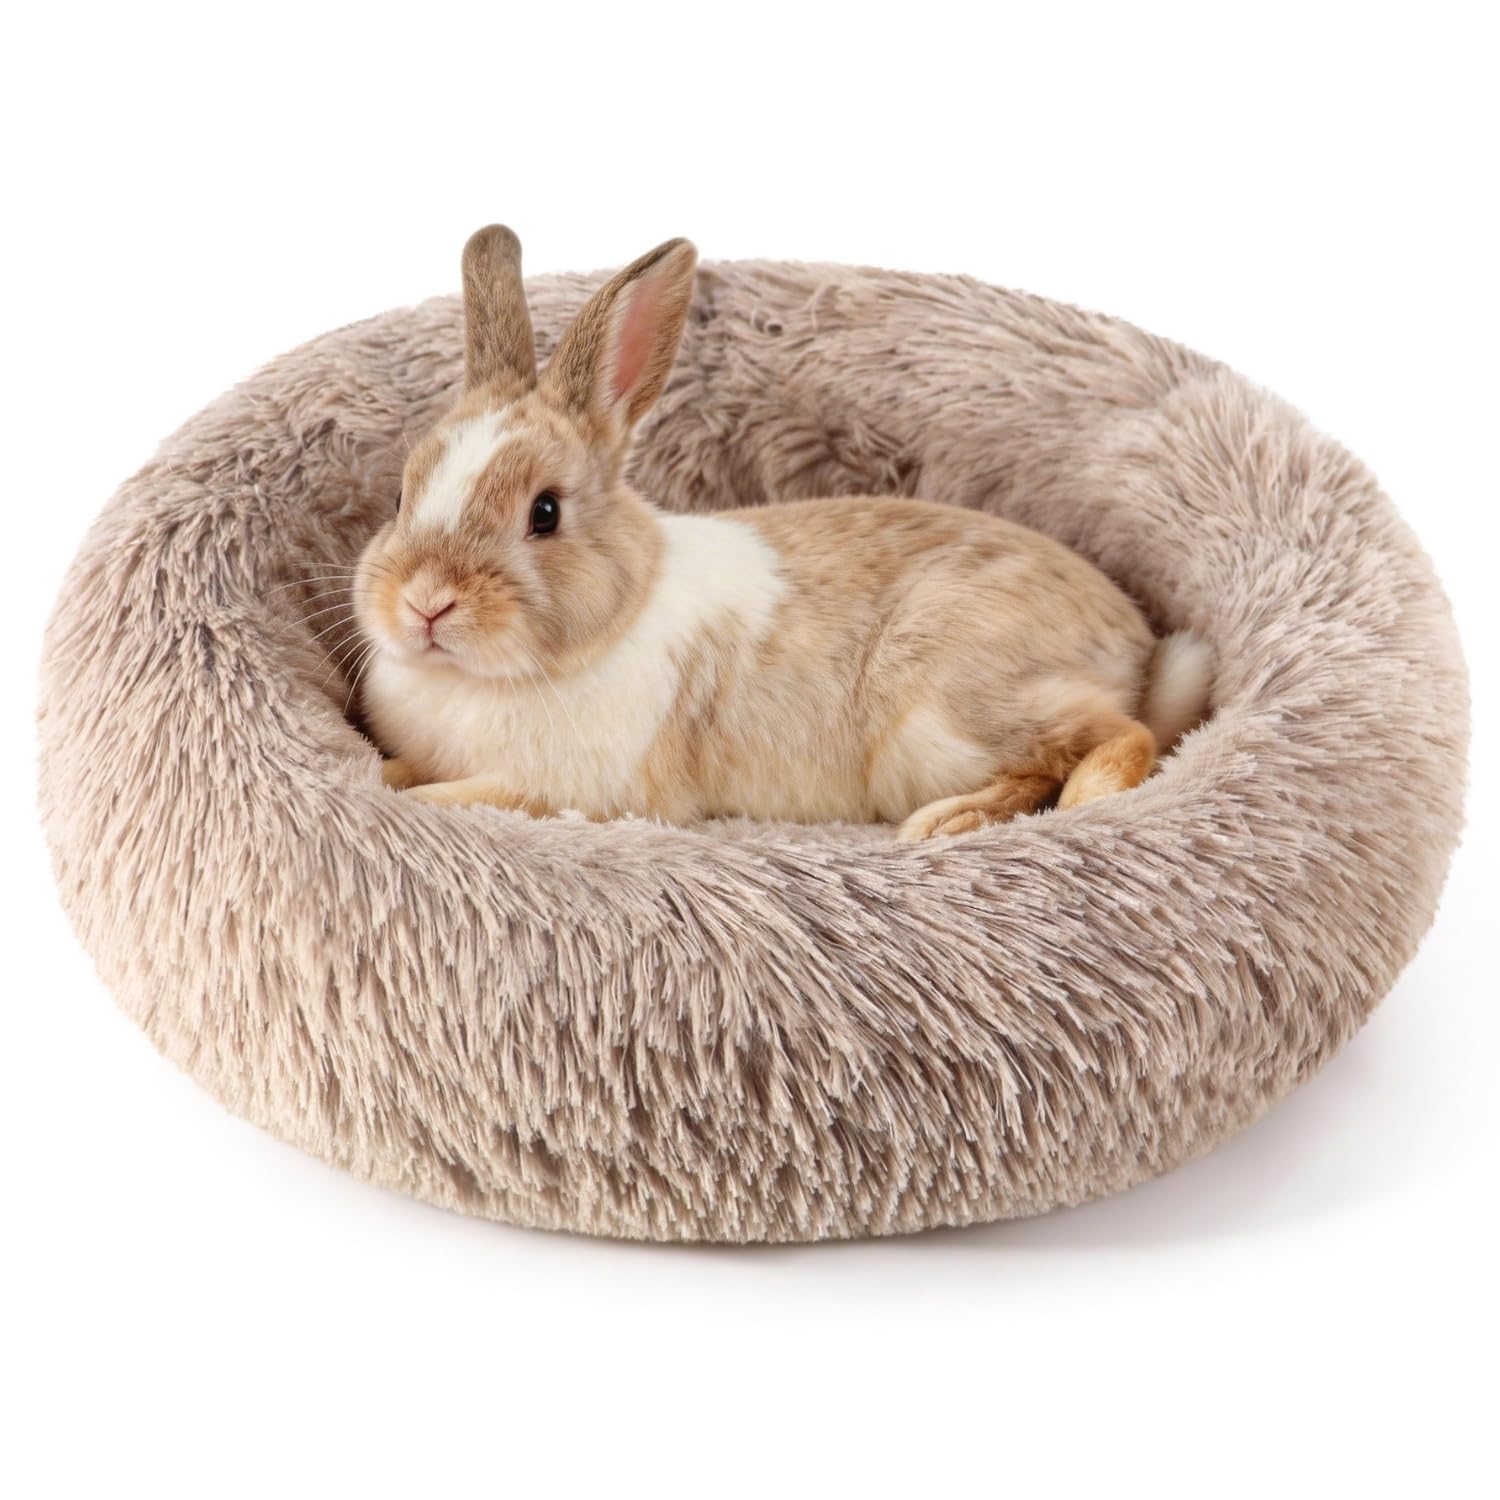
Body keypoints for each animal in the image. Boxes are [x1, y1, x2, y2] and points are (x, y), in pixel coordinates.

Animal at [353, 226, 1212, 840]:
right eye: (400, 493)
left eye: (545, 512)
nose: (425, 603)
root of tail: (1137, 648)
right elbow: (399, 773)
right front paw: (377, 779)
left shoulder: (569, 788)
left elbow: (454, 797)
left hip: (950, 711)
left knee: (1121, 735)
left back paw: (992, 816)